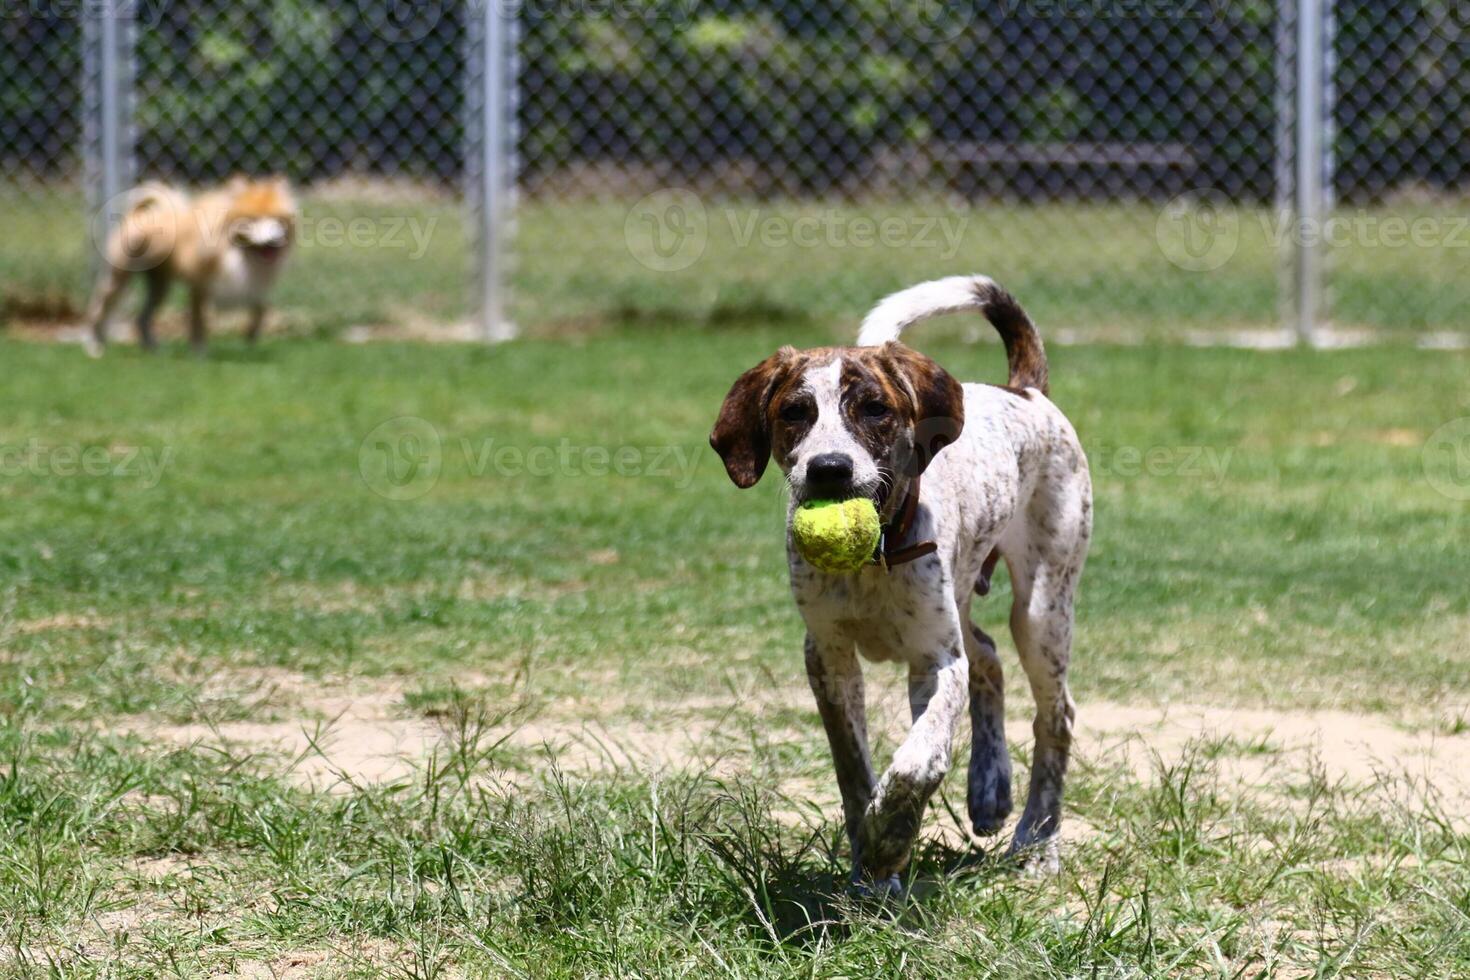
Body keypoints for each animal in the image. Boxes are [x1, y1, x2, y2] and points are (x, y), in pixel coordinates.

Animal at [84, 174, 296, 354]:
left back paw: (152, 348)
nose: (273, 241)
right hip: (119, 278)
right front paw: (199, 353)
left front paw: (251, 335)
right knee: (99, 308)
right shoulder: (200, 286)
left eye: (278, 221)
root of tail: (140, 213)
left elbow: (261, 309)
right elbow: (199, 321)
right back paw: (95, 346)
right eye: (252, 220)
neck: (237, 253)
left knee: (141, 318)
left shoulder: (249, 285)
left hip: (159, 287)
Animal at [711, 276, 1093, 887]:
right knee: (988, 657)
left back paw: (1038, 841)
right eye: (794, 411)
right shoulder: (828, 657)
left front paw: (890, 840)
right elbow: (854, 772)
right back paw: (989, 789)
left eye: (875, 409)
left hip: (1041, 609)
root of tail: (1024, 391)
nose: (830, 469)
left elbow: (918, 761)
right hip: (963, 598)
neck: (875, 559)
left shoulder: (936, 661)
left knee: (1055, 717)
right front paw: (870, 861)